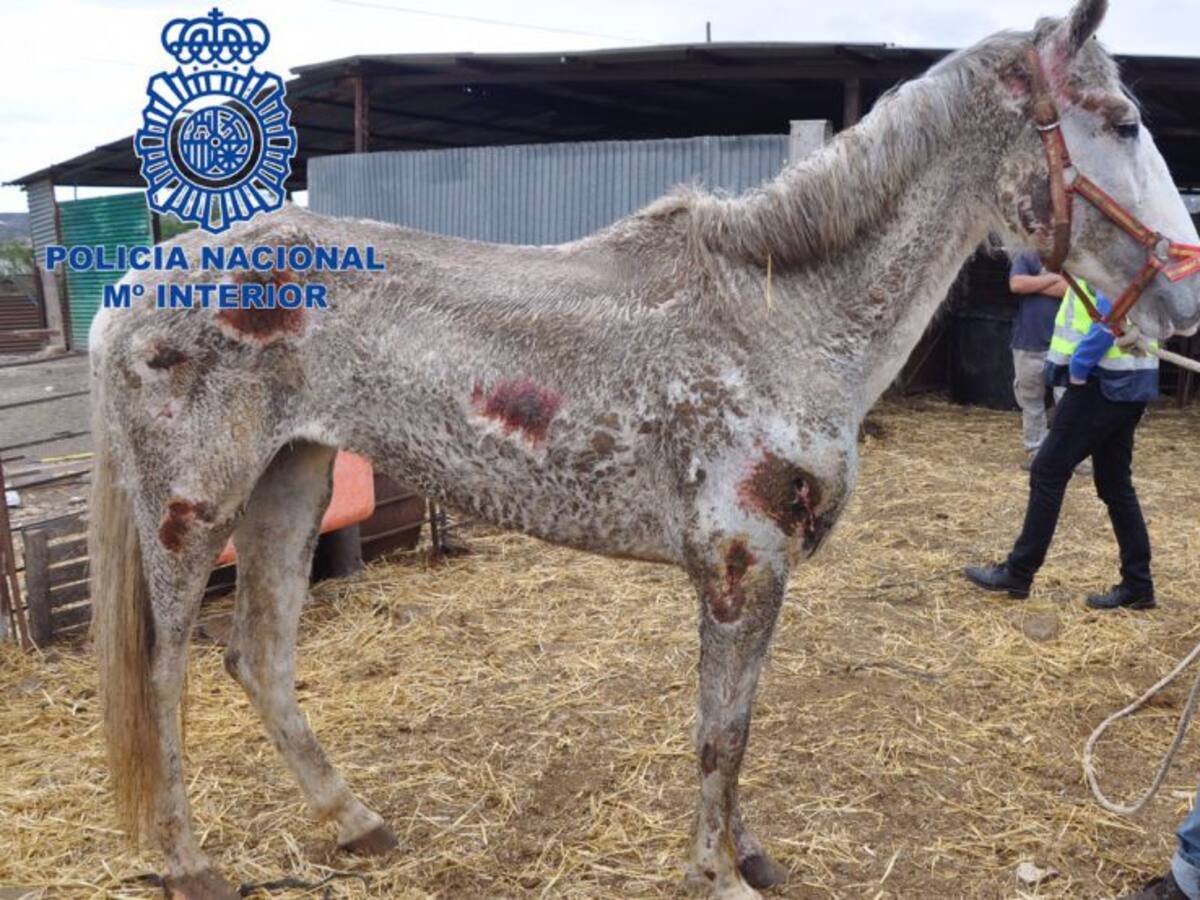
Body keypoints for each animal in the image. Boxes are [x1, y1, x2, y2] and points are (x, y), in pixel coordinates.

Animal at [88, 1, 1200, 896]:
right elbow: (720, 732)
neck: (777, 318)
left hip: (293, 482)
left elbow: (739, 727)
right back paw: (189, 864)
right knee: (163, 676)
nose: (1185, 301)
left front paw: (749, 855)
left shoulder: (763, 570)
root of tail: (133, 285)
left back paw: (357, 822)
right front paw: (717, 875)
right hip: (193, 510)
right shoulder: (740, 566)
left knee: (260, 657)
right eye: (1122, 121)